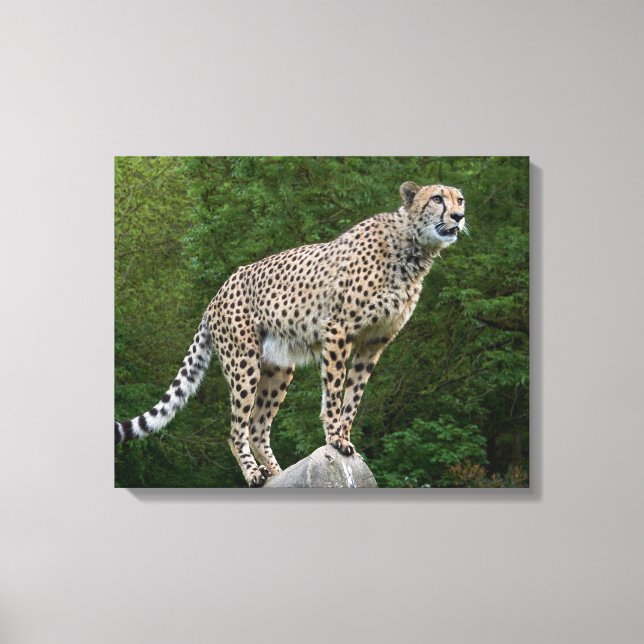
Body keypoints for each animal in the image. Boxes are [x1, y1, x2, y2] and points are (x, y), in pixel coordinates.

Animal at [115, 181, 466, 487]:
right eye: (437, 198)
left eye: (459, 200)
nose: (459, 217)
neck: (412, 247)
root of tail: (216, 295)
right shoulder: (338, 329)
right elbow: (335, 392)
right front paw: (336, 439)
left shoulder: (374, 342)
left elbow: (353, 395)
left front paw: (344, 438)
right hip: (244, 362)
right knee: (237, 429)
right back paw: (254, 474)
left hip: (278, 367)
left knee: (258, 427)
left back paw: (279, 473)